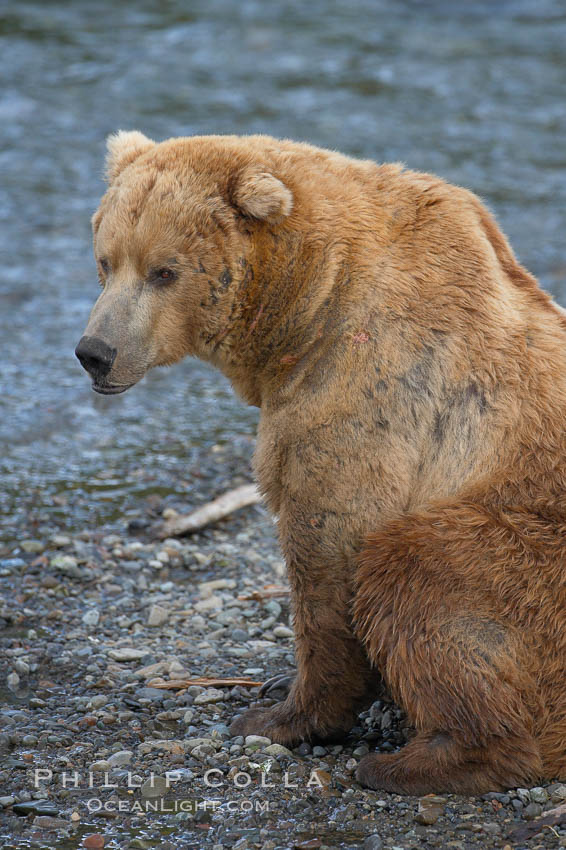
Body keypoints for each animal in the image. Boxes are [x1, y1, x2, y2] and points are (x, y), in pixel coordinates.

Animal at [75, 129, 566, 792]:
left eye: (164, 271)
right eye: (106, 260)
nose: (95, 352)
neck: (308, 302)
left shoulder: (366, 388)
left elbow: (330, 549)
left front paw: (284, 714)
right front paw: (280, 687)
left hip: (528, 552)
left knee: (417, 567)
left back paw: (416, 761)